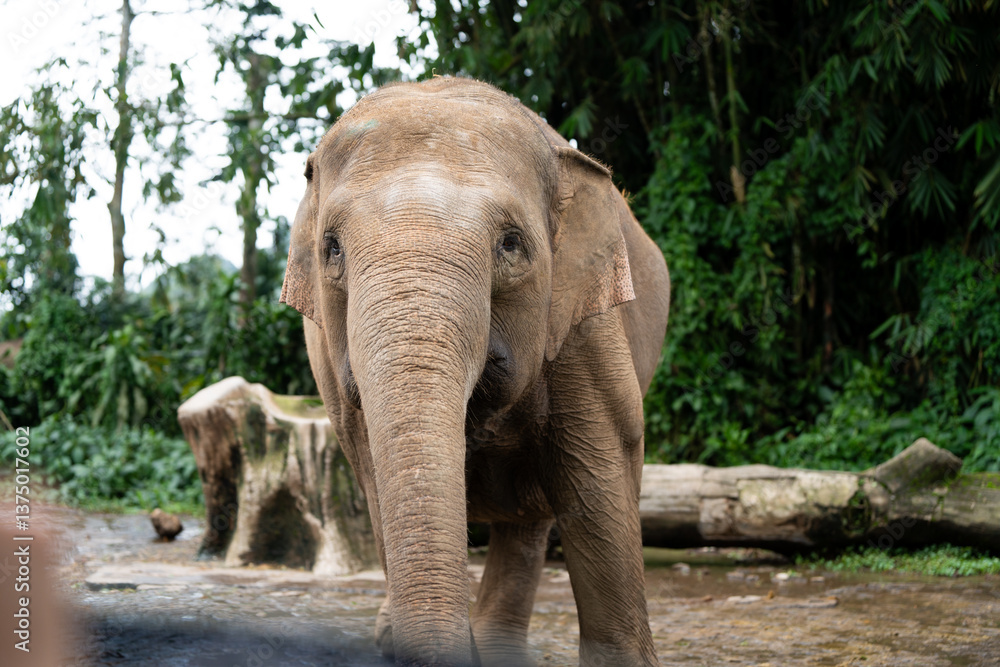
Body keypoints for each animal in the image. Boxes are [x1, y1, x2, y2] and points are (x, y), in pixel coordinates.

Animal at [280, 77, 670, 667]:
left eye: (511, 244)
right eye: (331, 249)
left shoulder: (584, 328)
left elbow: (598, 479)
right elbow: (376, 474)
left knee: (530, 520)